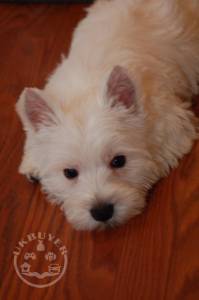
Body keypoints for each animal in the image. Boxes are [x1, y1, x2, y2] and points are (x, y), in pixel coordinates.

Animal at [16, 0, 199, 230]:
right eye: (69, 173)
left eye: (119, 161)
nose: (101, 211)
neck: (85, 89)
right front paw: (33, 163)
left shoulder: (175, 125)